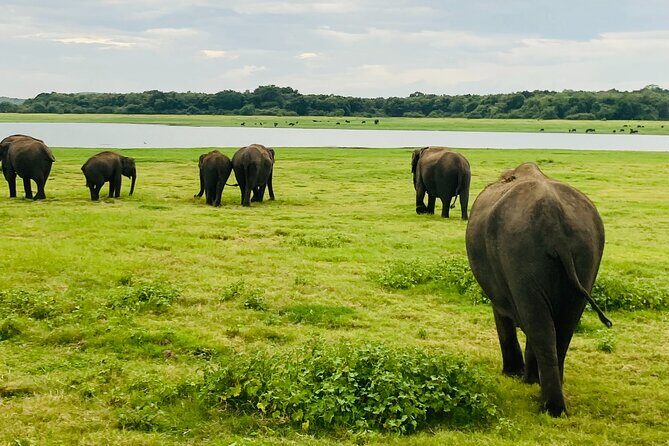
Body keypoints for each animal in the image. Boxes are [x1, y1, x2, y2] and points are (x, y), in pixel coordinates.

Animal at [465, 163, 612, 417]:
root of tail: (556, 226)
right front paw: (527, 378)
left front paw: (513, 375)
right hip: (587, 257)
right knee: (561, 328)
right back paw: (552, 401)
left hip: (519, 255)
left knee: (540, 327)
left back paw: (549, 407)